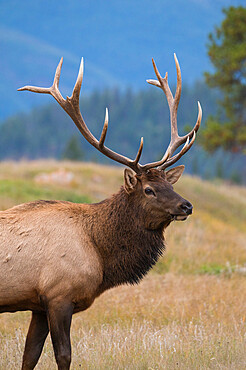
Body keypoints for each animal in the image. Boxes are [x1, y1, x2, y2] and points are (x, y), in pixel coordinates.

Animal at [0, 53, 202, 368]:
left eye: (170, 183)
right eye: (149, 189)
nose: (186, 205)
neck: (99, 252)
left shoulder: (38, 304)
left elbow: (29, 354)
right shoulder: (59, 295)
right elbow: (63, 354)